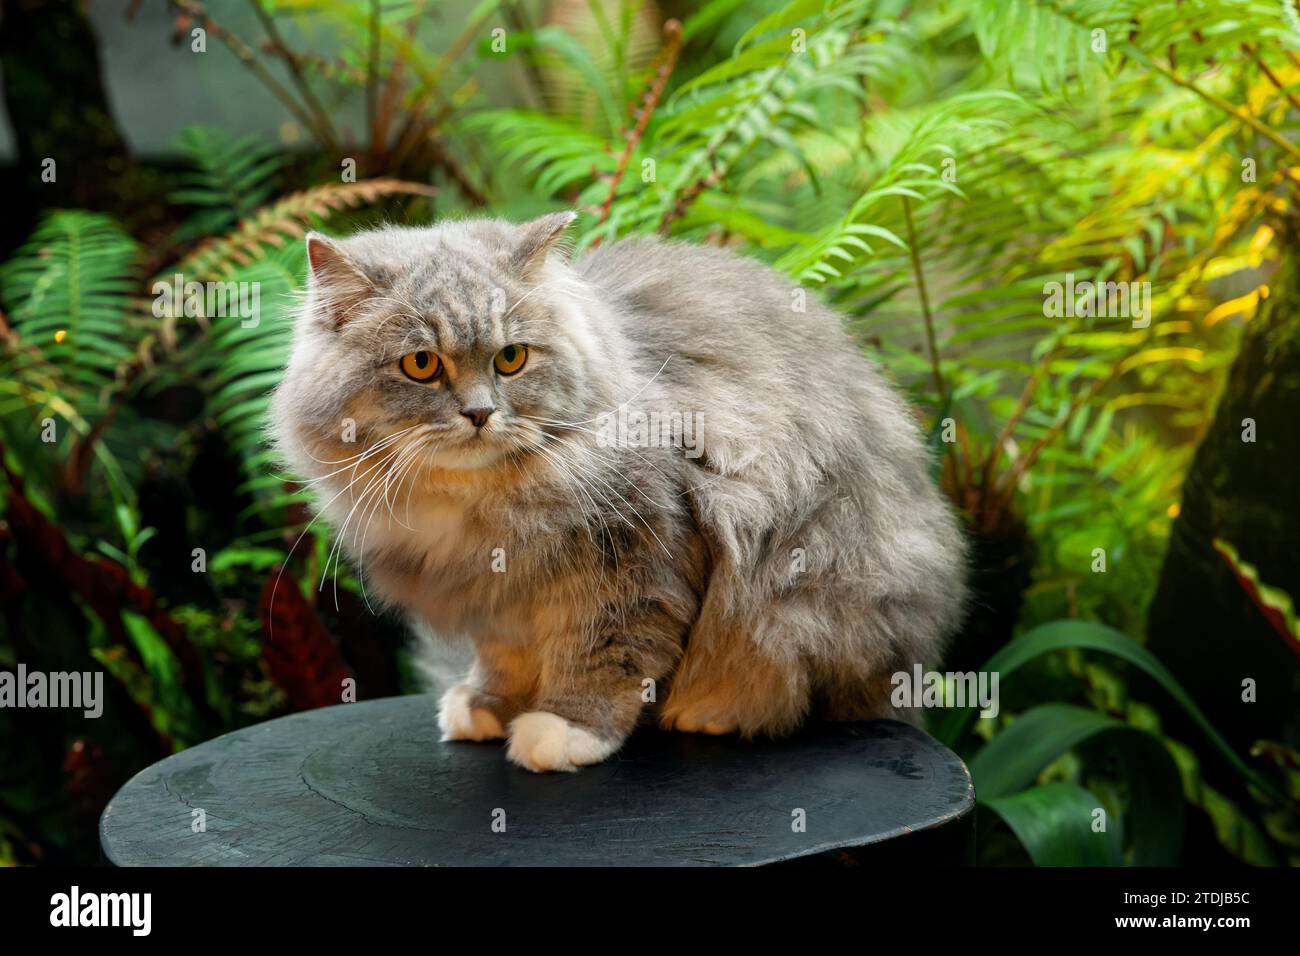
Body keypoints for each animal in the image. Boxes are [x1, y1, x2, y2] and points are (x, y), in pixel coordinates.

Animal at [271, 213, 967, 775]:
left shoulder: (640, 559)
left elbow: (605, 656)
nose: (480, 414)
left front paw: (562, 731)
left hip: (807, 605)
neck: (479, 507)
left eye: (511, 359)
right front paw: (488, 708)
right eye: (421, 365)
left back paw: (713, 711)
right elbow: (505, 661)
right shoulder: (499, 600)